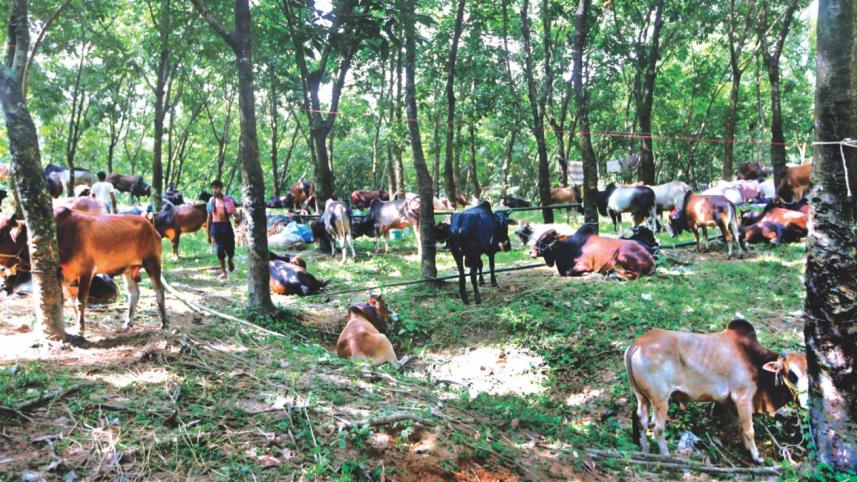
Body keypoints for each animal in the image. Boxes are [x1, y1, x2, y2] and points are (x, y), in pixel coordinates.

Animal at [0, 209, 167, 335]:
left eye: (1, 231)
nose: (4, 284)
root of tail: (149, 224)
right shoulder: (67, 280)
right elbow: (74, 304)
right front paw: (76, 326)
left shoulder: (86, 272)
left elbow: (81, 302)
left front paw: (80, 329)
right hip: (128, 269)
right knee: (134, 293)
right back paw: (127, 323)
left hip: (152, 261)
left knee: (159, 291)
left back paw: (164, 323)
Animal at [625, 319, 808, 463]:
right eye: (791, 374)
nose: (806, 402)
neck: (752, 357)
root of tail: (637, 345)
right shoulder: (743, 397)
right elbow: (749, 430)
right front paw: (756, 457)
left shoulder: (730, 404)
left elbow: (739, 428)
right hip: (661, 400)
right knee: (657, 428)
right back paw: (667, 456)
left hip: (642, 397)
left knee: (642, 422)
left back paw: (646, 452)